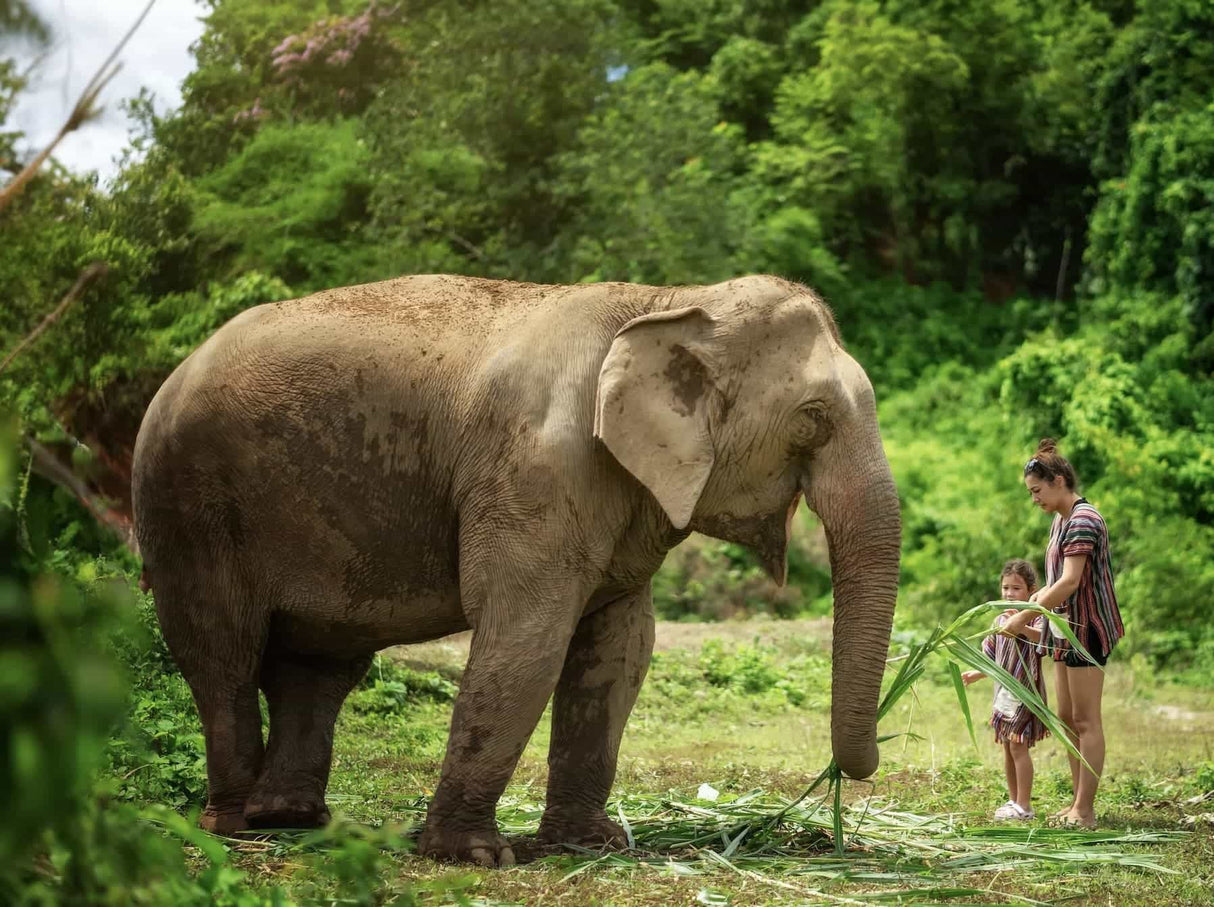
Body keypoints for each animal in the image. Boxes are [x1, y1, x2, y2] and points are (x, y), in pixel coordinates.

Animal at [131, 273, 901, 865]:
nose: (852, 774)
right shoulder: (536, 469)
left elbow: (620, 648)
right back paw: (237, 828)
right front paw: (475, 856)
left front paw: (590, 845)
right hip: (187, 502)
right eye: (812, 417)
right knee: (221, 653)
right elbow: (527, 636)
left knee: (315, 666)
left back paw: (294, 821)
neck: (672, 299)